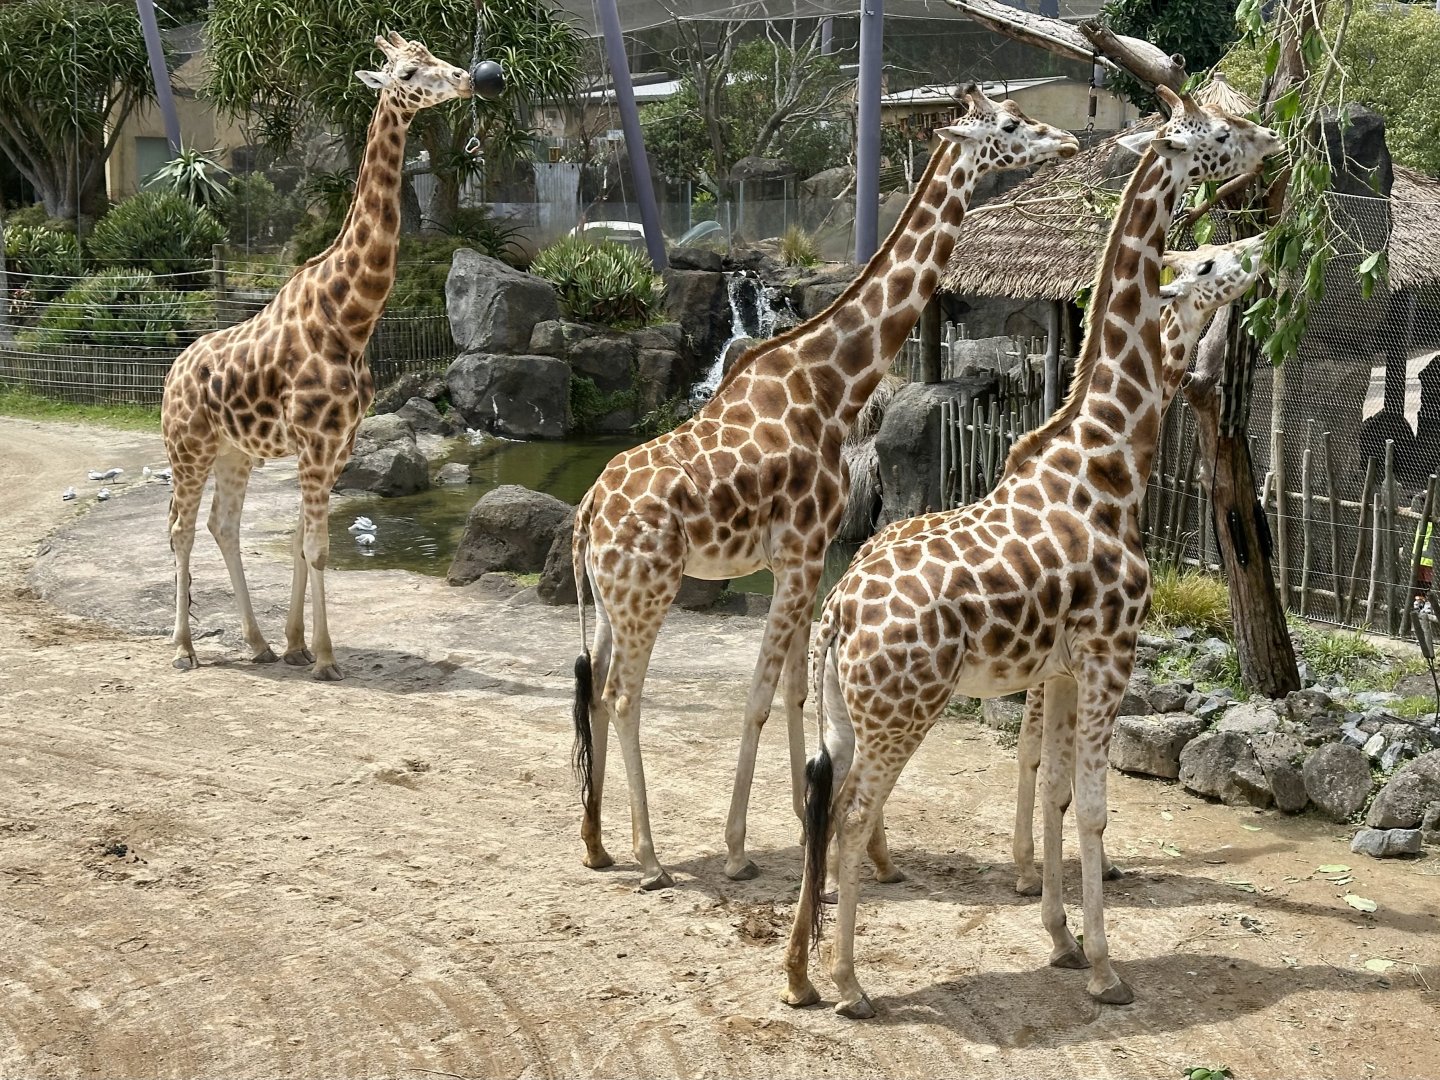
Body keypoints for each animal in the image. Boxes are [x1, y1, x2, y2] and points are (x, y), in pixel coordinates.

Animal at [161, 33, 472, 680]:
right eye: (408, 72)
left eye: (435, 55)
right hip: (189, 448)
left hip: (234, 451)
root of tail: (172, 372)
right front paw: (325, 658)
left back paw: (256, 643)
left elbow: (304, 545)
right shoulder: (315, 441)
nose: (465, 79)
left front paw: (296, 644)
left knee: (222, 526)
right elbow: (318, 547)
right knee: (180, 529)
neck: (350, 320)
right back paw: (183, 648)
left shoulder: (337, 445)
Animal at [568, 87, 1081, 891]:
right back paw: (650, 857)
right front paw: (740, 848)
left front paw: (823, 830)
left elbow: (795, 690)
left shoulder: (802, 561)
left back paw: (596, 843)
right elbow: (757, 697)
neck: (833, 384)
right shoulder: (803, 550)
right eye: (1007, 125)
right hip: (648, 589)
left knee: (593, 686)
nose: (1066, 142)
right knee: (623, 694)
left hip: (607, 594)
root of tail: (588, 511)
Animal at [780, 88, 1280, 1018]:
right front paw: (1107, 970)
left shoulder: (1059, 663)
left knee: (824, 808)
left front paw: (1060, 938)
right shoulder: (1111, 649)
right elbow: (1091, 808)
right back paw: (851, 983)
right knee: (853, 814)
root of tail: (838, 617)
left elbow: (1050, 787)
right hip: (904, 706)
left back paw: (798, 975)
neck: (1106, 458)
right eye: (1216, 134)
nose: (1269, 138)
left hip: (849, 708)